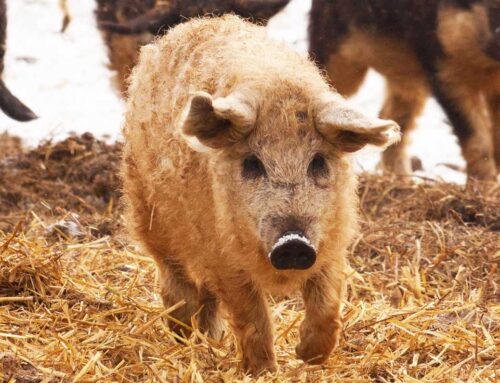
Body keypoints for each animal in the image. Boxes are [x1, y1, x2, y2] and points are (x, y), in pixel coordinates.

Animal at [123, 15, 400, 376]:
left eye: (318, 161)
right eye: (252, 163)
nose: (293, 243)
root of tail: (184, 27)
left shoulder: (332, 244)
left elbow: (327, 305)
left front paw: (307, 357)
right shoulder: (225, 258)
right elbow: (252, 316)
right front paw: (264, 371)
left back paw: (212, 337)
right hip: (147, 210)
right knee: (175, 279)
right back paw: (185, 335)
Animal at [310, 0, 500, 183]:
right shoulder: (444, 68)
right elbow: (475, 137)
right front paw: (486, 189)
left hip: (406, 77)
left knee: (393, 119)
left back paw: (407, 182)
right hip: (334, 50)